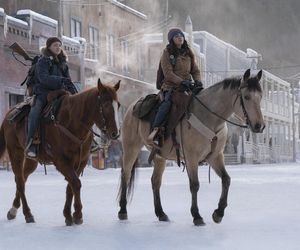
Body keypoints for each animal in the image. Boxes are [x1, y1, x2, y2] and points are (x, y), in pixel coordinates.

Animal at [0, 78, 119, 225]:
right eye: (106, 105)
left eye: (118, 105)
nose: (115, 133)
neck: (71, 121)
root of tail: (8, 115)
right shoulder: (61, 161)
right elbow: (75, 183)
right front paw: (77, 214)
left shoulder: (81, 161)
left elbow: (70, 186)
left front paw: (68, 214)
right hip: (15, 152)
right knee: (20, 180)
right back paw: (27, 214)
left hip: (30, 160)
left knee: (23, 178)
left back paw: (13, 210)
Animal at [119, 69, 264, 226]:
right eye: (247, 97)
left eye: (260, 97)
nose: (259, 126)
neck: (209, 118)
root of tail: (132, 107)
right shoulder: (191, 158)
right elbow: (194, 184)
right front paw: (197, 215)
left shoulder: (216, 156)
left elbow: (226, 179)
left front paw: (218, 213)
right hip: (131, 148)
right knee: (126, 175)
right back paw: (122, 211)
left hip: (159, 156)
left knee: (155, 181)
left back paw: (161, 213)